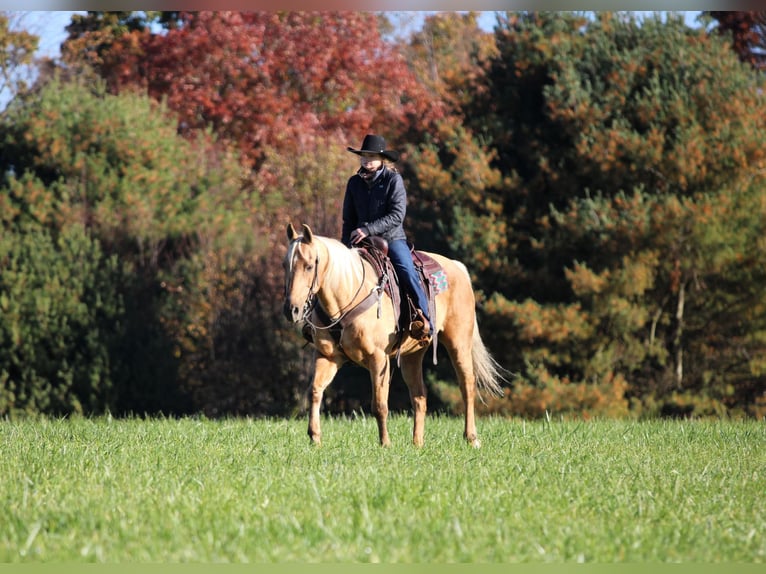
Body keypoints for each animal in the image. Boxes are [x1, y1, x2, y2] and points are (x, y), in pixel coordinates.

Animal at [282, 222, 506, 448]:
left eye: (309, 266)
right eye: (286, 265)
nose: (291, 310)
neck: (348, 295)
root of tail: (457, 266)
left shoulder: (378, 358)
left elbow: (379, 404)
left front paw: (385, 444)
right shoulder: (327, 357)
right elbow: (315, 391)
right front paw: (315, 438)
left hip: (459, 342)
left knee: (467, 385)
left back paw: (471, 438)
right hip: (412, 355)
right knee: (419, 395)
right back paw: (417, 443)